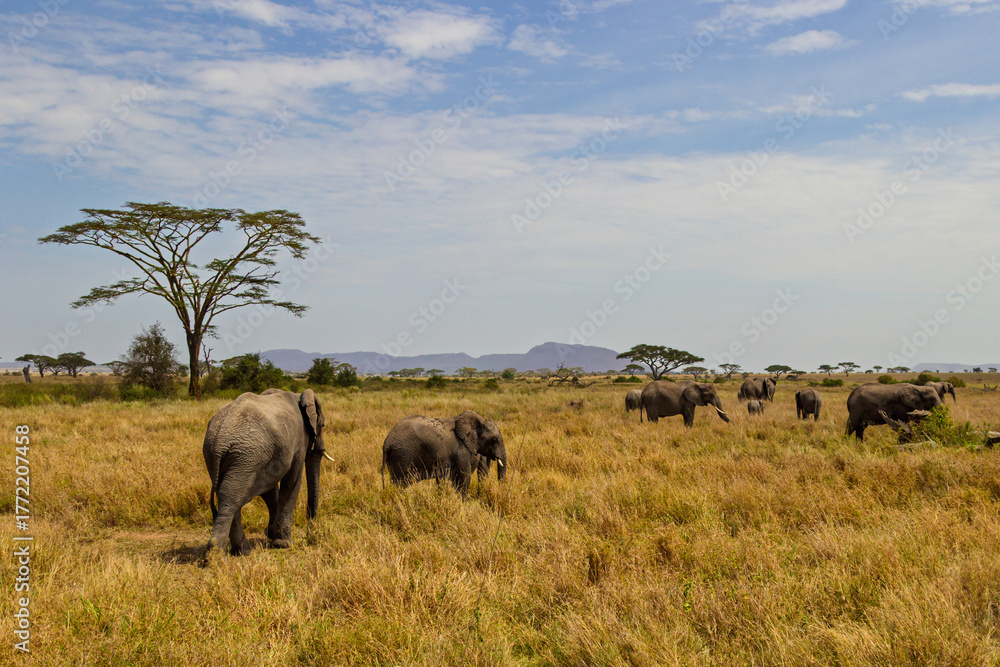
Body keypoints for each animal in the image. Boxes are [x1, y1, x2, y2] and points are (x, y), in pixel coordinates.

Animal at [203, 388, 333, 555]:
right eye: (322, 425)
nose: (311, 532)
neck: (298, 395)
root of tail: (220, 441)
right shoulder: (298, 442)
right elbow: (292, 482)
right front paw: (284, 543)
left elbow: (270, 489)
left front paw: (272, 535)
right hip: (246, 456)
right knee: (231, 497)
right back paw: (218, 554)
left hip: (221, 456)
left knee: (229, 495)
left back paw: (242, 551)